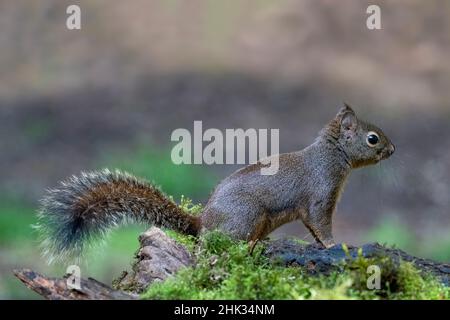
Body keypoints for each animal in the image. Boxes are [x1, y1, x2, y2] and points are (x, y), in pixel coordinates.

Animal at [36, 105, 394, 262]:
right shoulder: (321, 195)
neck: (330, 156)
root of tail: (202, 222)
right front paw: (336, 246)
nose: (393, 150)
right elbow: (320, 224)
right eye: (372, 138)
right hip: (247, 217)